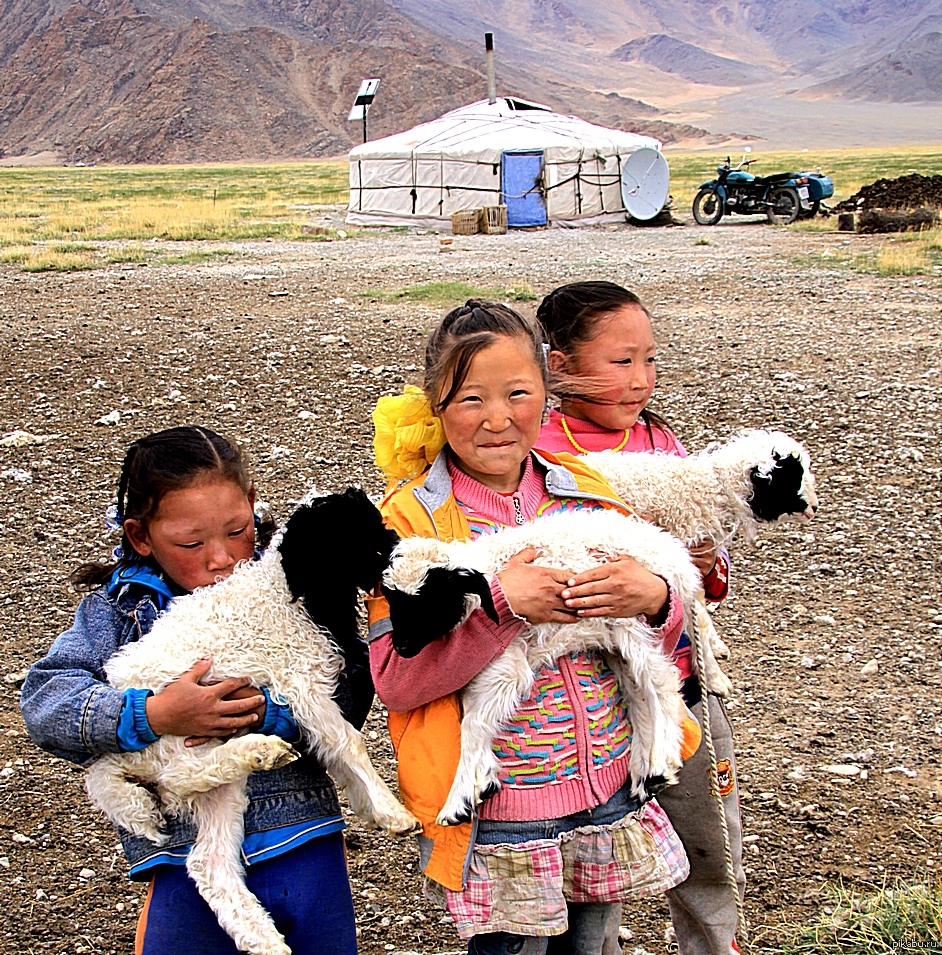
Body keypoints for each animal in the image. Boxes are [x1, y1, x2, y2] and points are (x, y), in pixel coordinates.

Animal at [86, 490, 418, 955]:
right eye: (350, 537)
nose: (398, 556)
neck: (290, 593)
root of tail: (108, 761)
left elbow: (334, 748)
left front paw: (369, 807)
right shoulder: (299, 682)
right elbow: (349, 743)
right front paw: (393, 812)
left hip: (218, 793)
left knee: (208, 863)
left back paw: (266, 941)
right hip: (175, 728)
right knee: (178, 776)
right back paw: (261, 749)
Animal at [384, 430, 820, 824]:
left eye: (430, 600)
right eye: (393, 602)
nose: (402, 648)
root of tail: (667, 550)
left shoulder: (506, 663)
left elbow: (473, 725)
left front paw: (460, 798)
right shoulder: (496, 665)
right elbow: (474, 721)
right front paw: (476, 786)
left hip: (629, 619)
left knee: (662, 686)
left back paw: (660, 762)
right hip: (615, 641)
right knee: (643, 696)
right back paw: (646, 771)